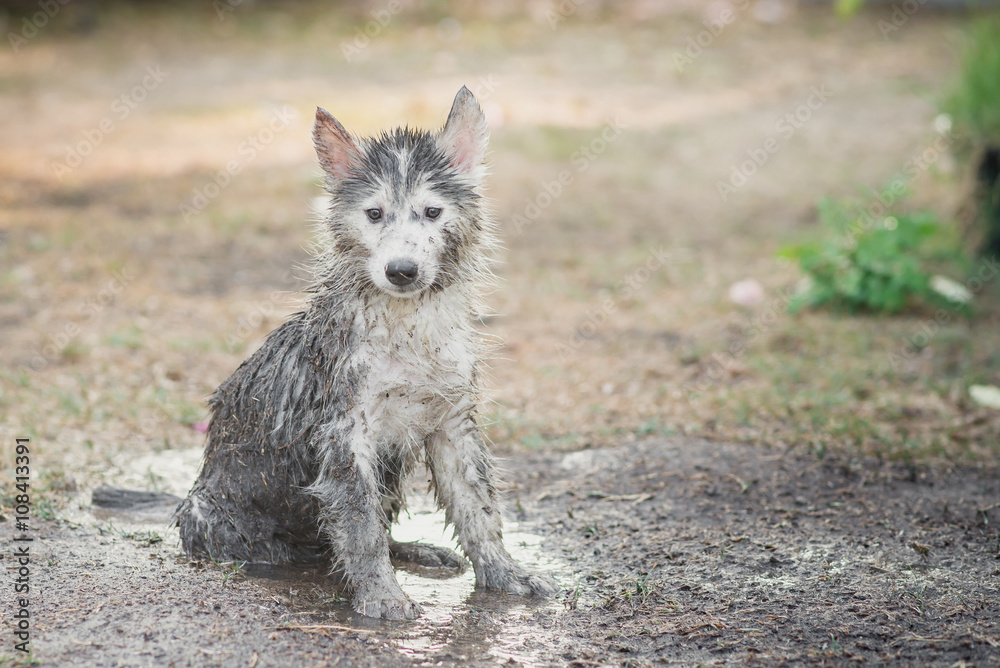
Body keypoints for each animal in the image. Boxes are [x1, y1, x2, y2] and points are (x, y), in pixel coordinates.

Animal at [176, 87, 560, 620]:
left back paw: (417, 551)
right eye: (374, 214)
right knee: (294, 547)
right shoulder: (345, 434)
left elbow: (478, 507)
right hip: (221, 519)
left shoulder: (453, 424)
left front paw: (506, 573)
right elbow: (359, 526)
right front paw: (382, 595)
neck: (405, 327)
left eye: (432, 212)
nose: (401, 270)